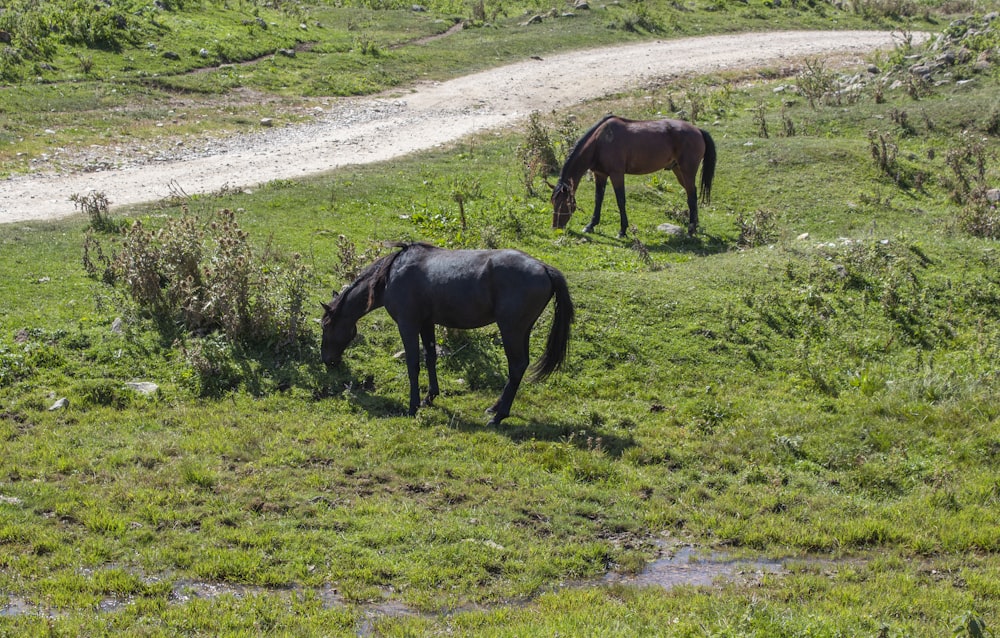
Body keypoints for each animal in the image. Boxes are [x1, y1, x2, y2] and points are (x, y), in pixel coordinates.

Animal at [320, 241, 572, 424]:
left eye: (325, 326)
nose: (327, 360)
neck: (391, 275)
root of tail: (544, 268)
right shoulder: (426, 323)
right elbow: (430, 357)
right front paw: (430, 397)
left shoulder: (407, 324)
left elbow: (413, 364)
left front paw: (413, 406)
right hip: (522, 331)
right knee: (519, 367)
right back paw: (495, 408)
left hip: (511, 330)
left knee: (517, 366)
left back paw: (499, 416)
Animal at [552, 114, 716, 238]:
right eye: (553, 202)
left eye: (564, 204)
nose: (556, 228)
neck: (600, 142)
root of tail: (698, 130)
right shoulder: (600, 174)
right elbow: (598, 199)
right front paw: (591, 225)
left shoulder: (617, 174)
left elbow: (620, 200)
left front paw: (622, 231)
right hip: (679, 171)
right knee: (692, 194)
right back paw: (695, 225)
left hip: (687, 171)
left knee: (691, 196)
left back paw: (691, 230)